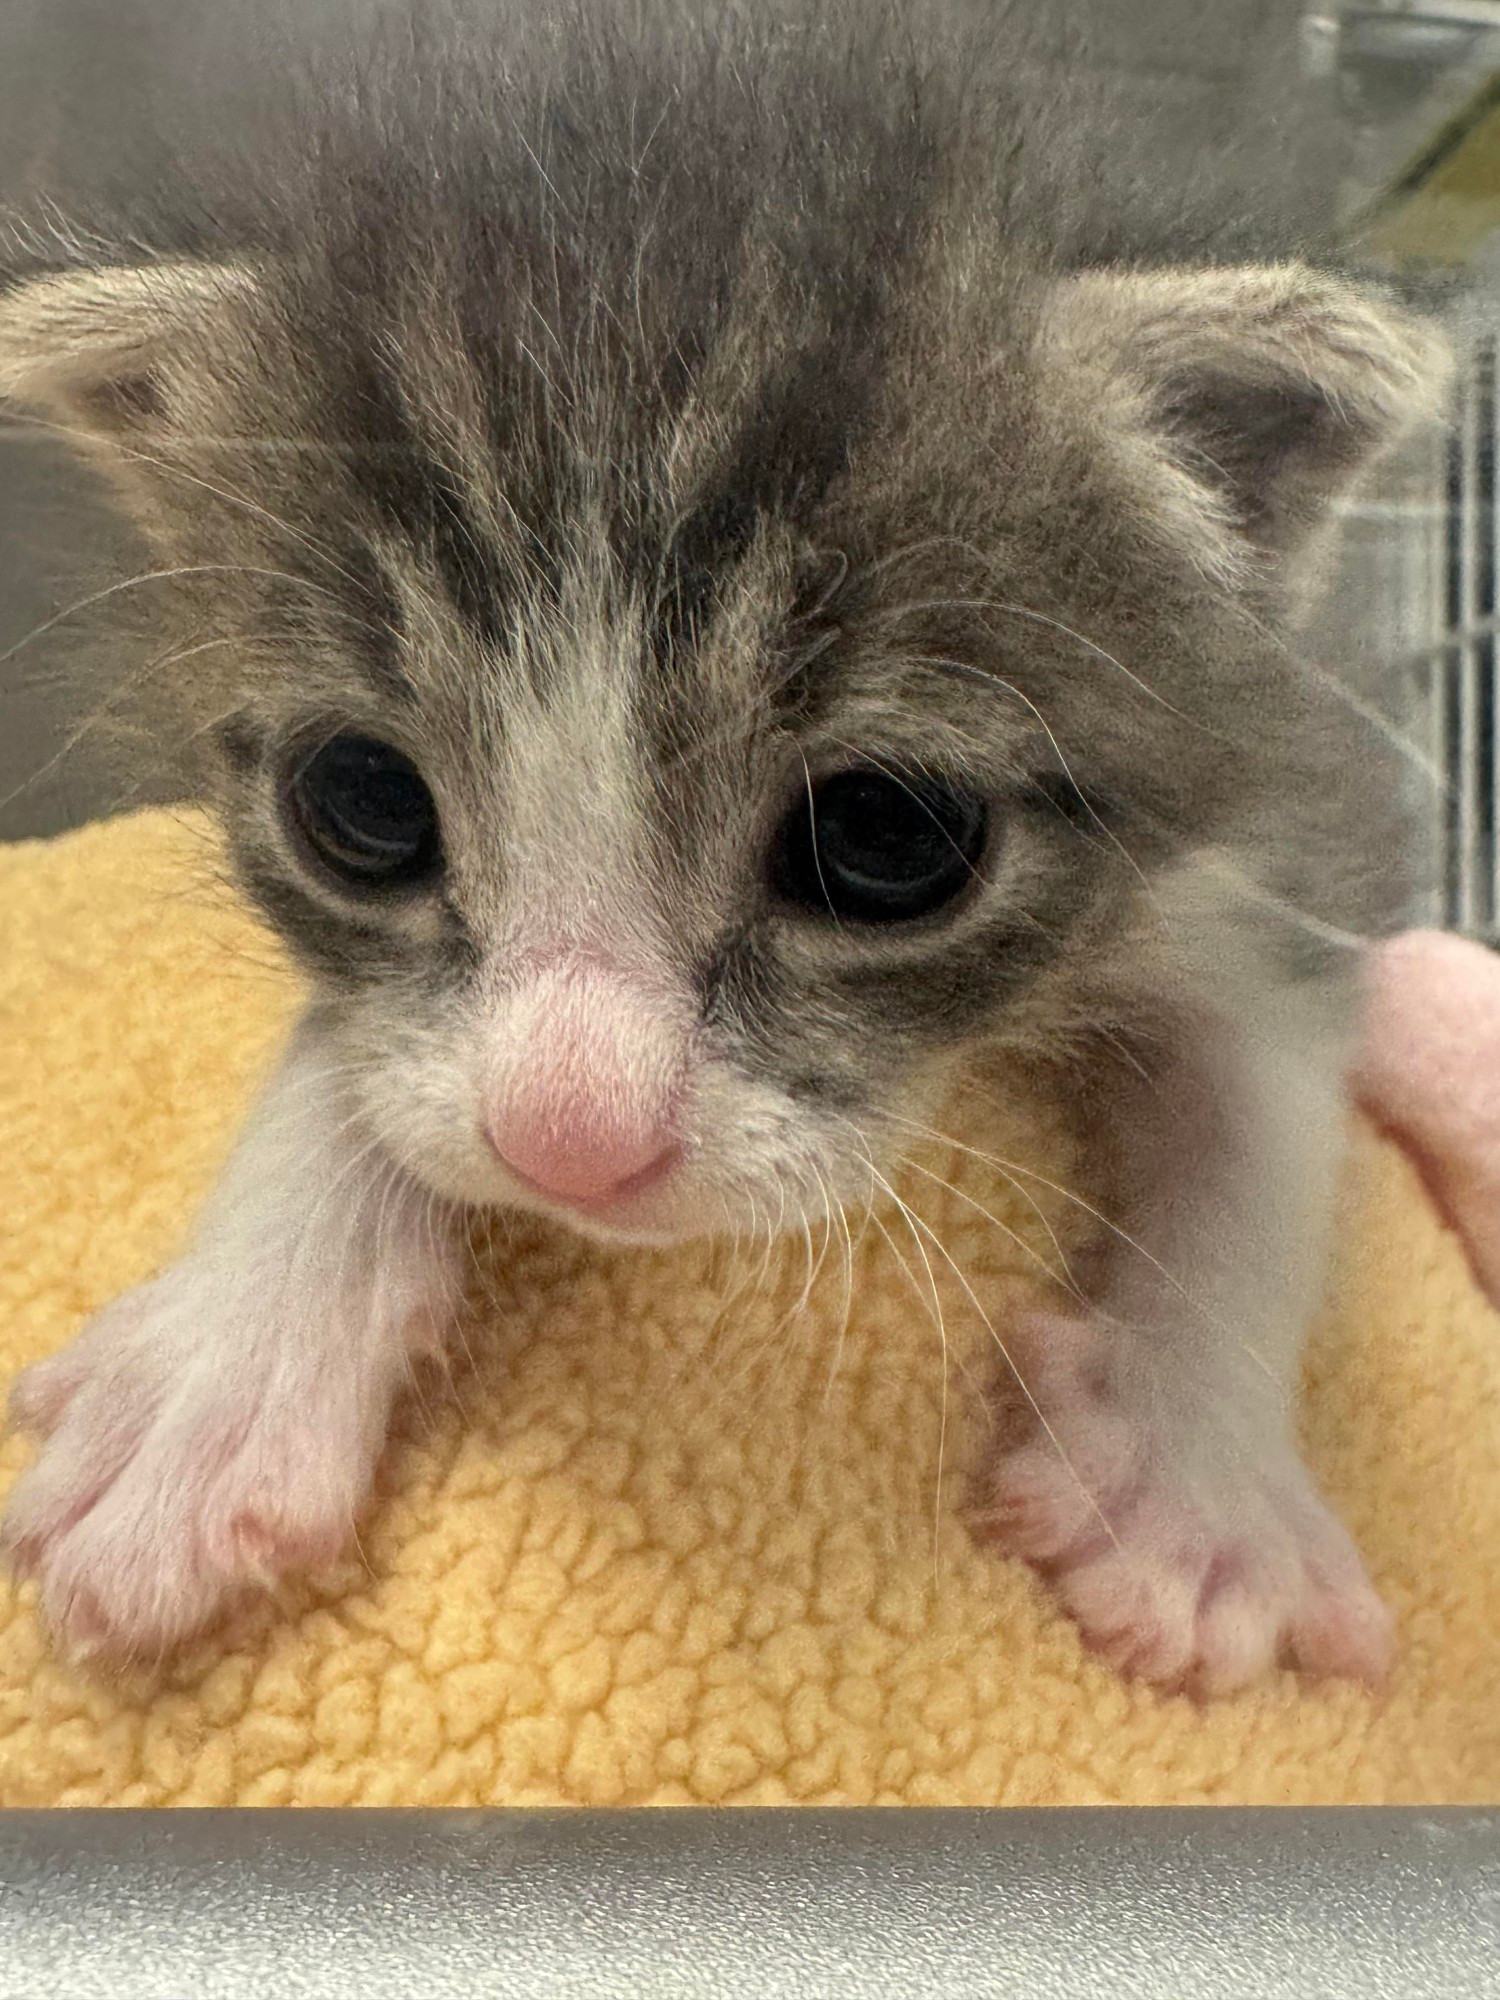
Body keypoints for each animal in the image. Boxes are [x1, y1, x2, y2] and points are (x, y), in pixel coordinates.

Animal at [0, 3, 1456, 1688]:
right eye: (360, 803)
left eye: (885, 835)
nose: (569, 1142)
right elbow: (362, 1052)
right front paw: (225, 1360)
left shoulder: (1285, 758)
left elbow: (1266, 1090)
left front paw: (1198, 1488)